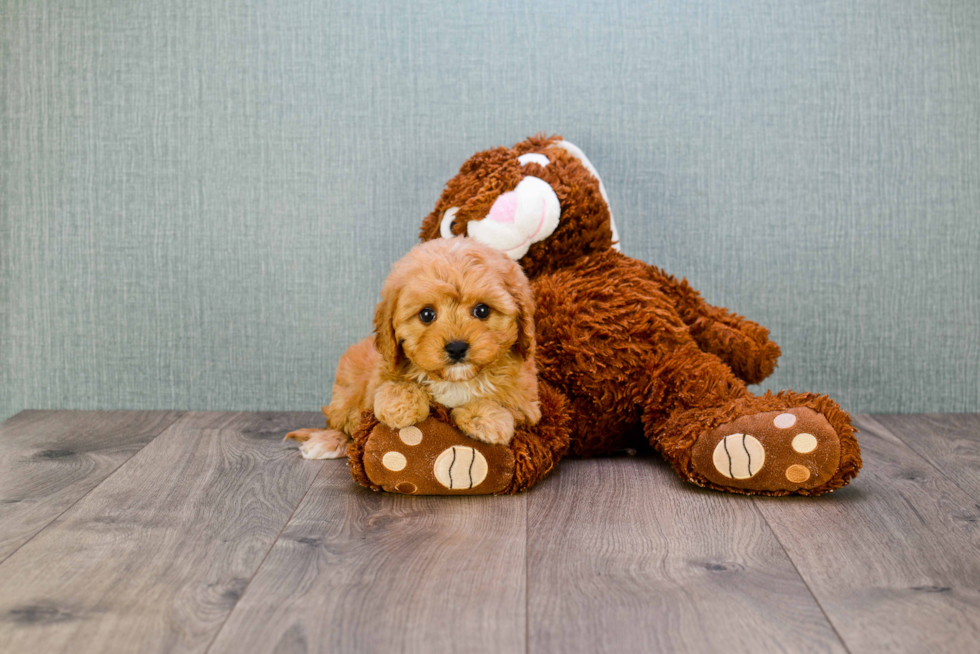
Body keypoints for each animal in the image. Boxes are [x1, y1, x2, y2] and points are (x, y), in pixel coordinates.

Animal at [288, 238, 540, 458]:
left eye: (482, 310)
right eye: (426, 315)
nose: (457, 348)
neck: (455, 380)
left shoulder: (528, 404)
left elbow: (504, 405)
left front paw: (485, 419)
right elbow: (389, 391)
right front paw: (401, 403)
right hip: (347, 386)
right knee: (342, 423)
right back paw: (327, 442)